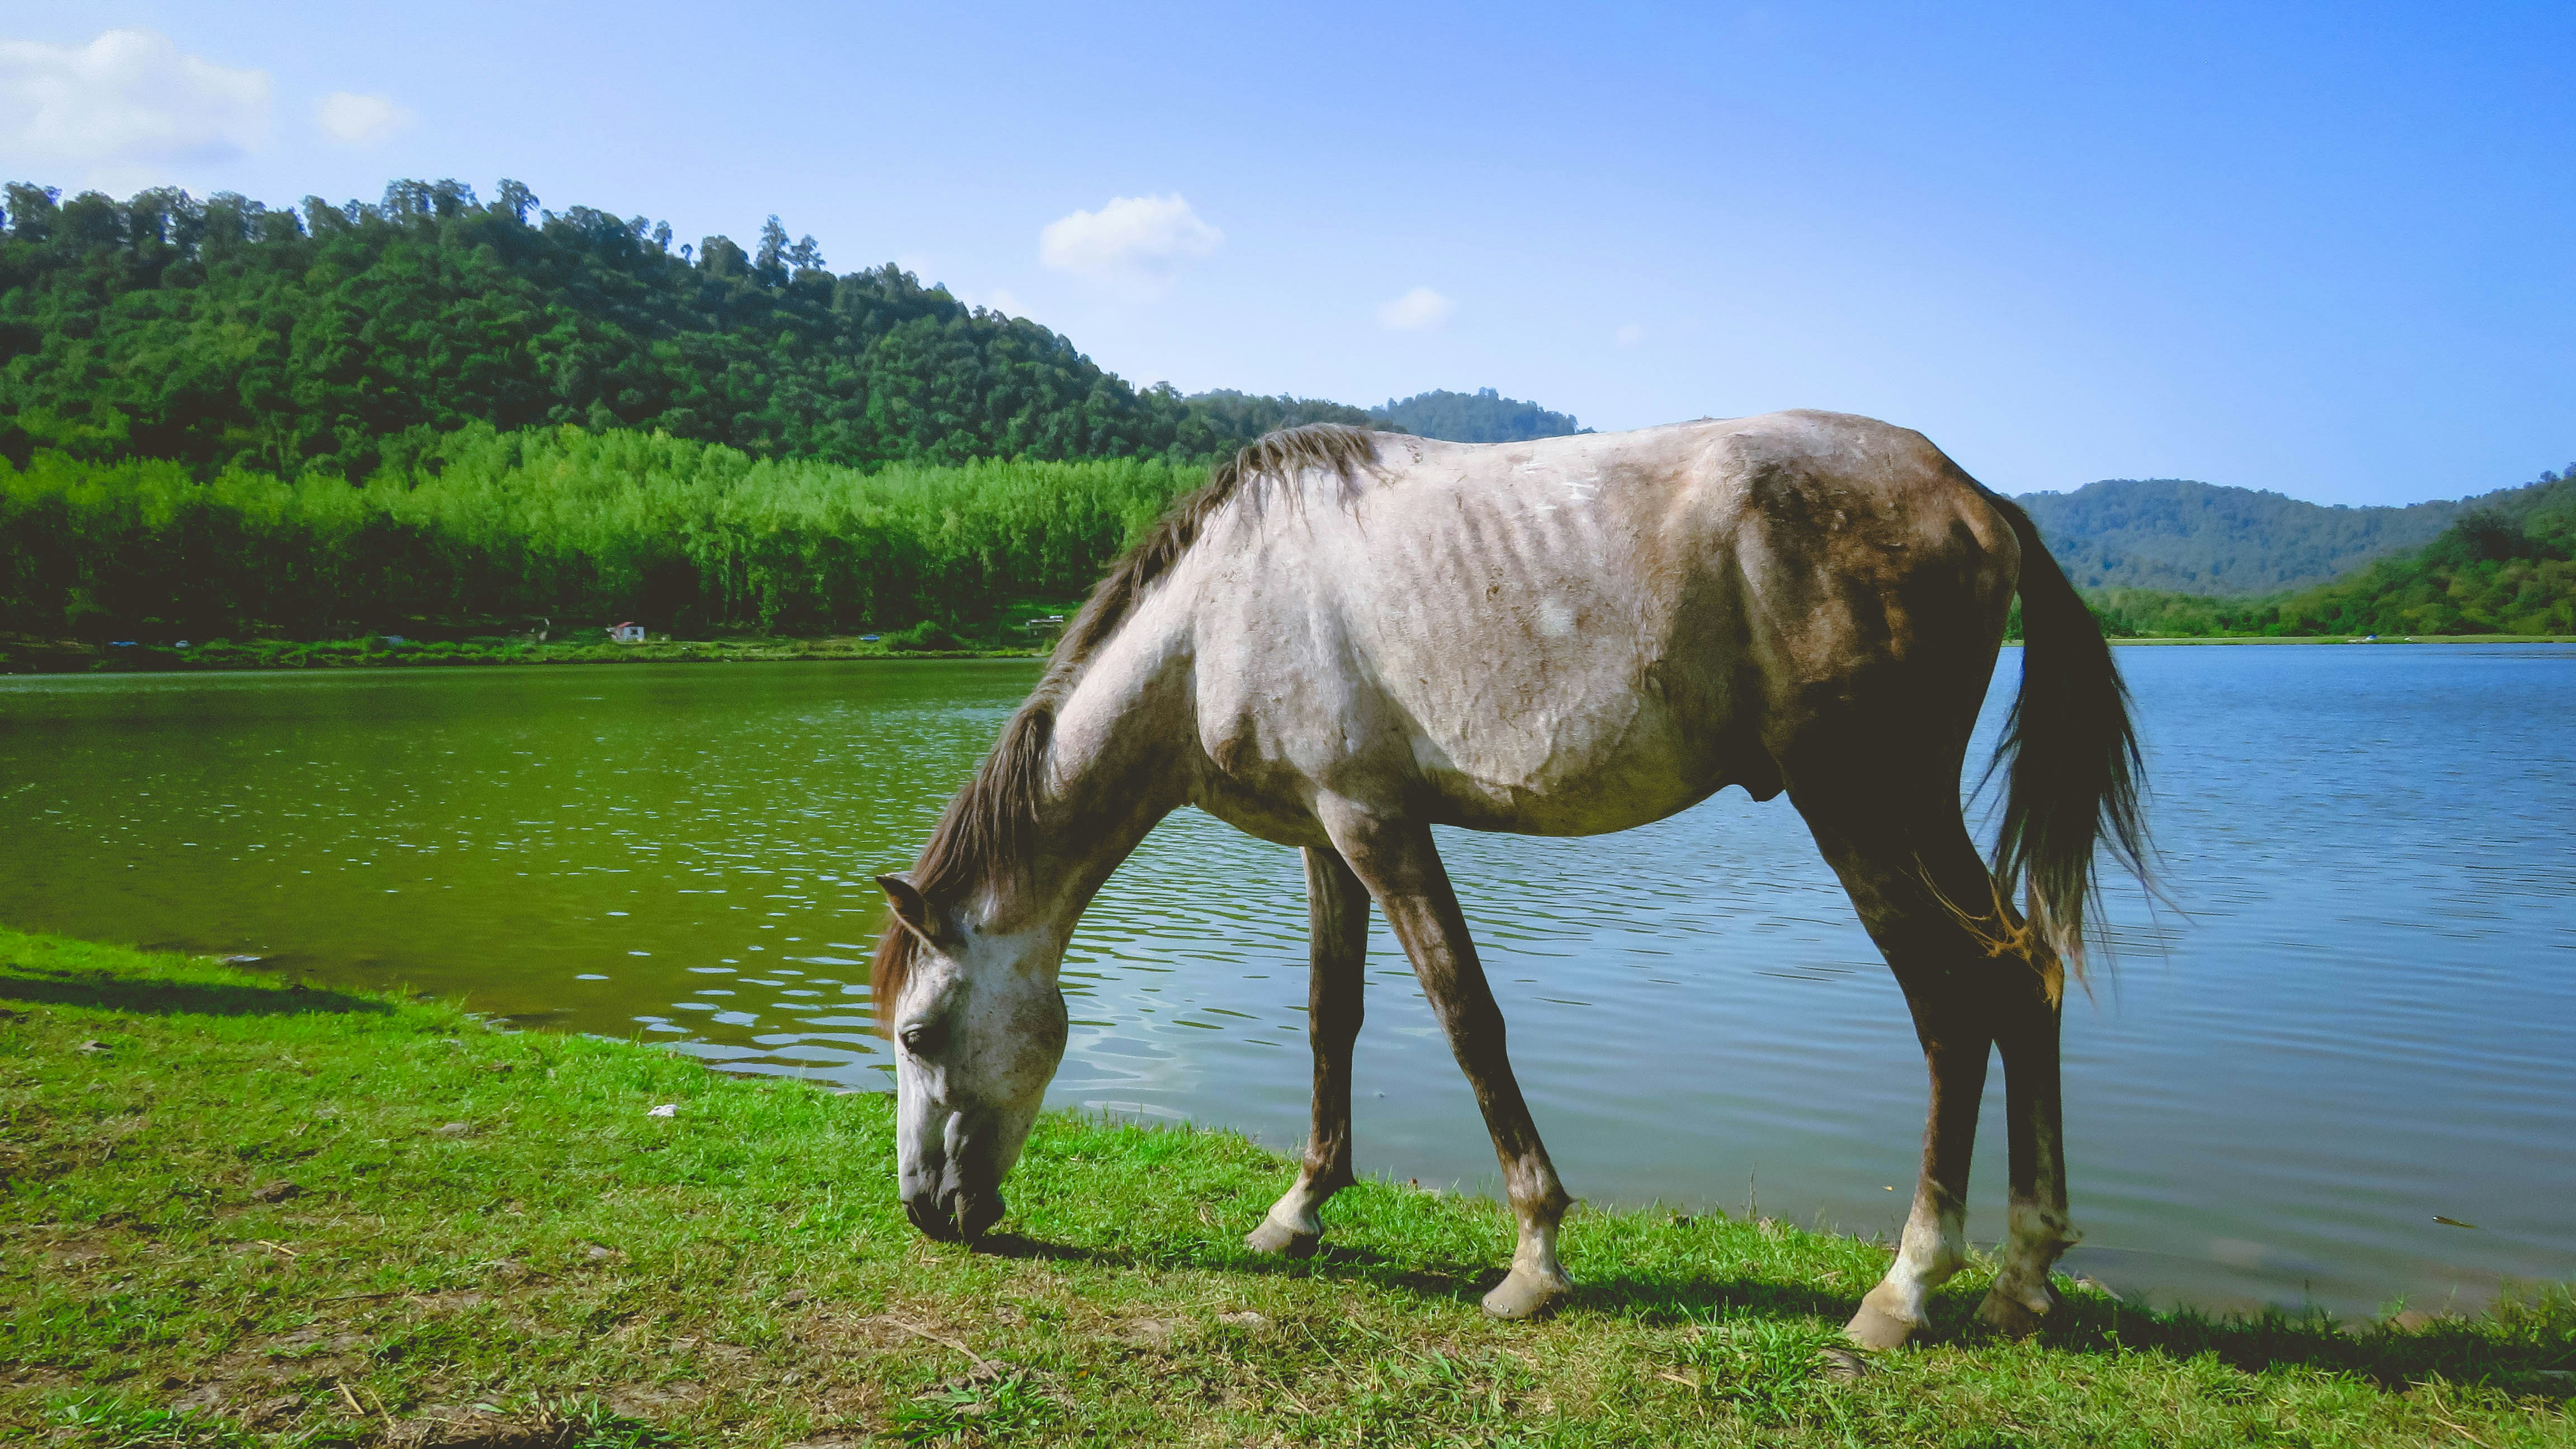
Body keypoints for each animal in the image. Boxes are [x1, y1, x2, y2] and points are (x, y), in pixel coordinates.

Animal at [868, 410, 2146, 1349]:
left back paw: (1907, 1286)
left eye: (919, 1036)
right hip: (1917, 815)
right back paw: (2024, 1276)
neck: (1218, 613)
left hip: (1863, 810)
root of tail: (1975, 497)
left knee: (1951, 1005)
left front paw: (1533, 1255)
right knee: (2025, 975)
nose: (925, 1213)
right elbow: (1332, 1019)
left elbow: (1465, 1017)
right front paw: (1298, 1211)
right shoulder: (1324, 839)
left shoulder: (1378, 825)